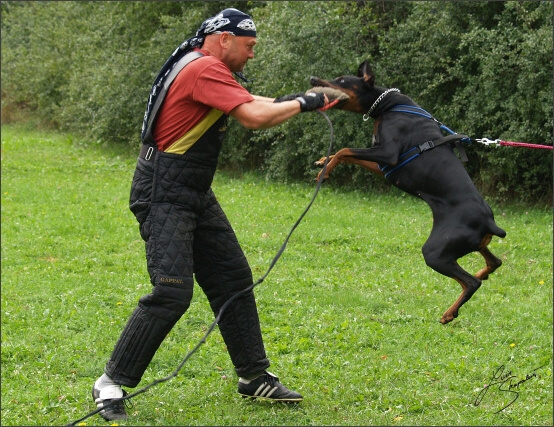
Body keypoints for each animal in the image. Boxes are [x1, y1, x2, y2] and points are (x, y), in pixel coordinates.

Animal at [310, 61, 504, 324]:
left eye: (341, 80)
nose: (312, 79)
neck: (388, 106)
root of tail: (489, 221)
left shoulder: (389, 154)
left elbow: (344, 149)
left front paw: (325, 170)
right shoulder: (384, 166)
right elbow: (347, 154)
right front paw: (324, 161)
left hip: (436, 251)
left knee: (471, 282)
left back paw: (449, 313)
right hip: (469, 244)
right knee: (495, 262)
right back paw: (482, 273)